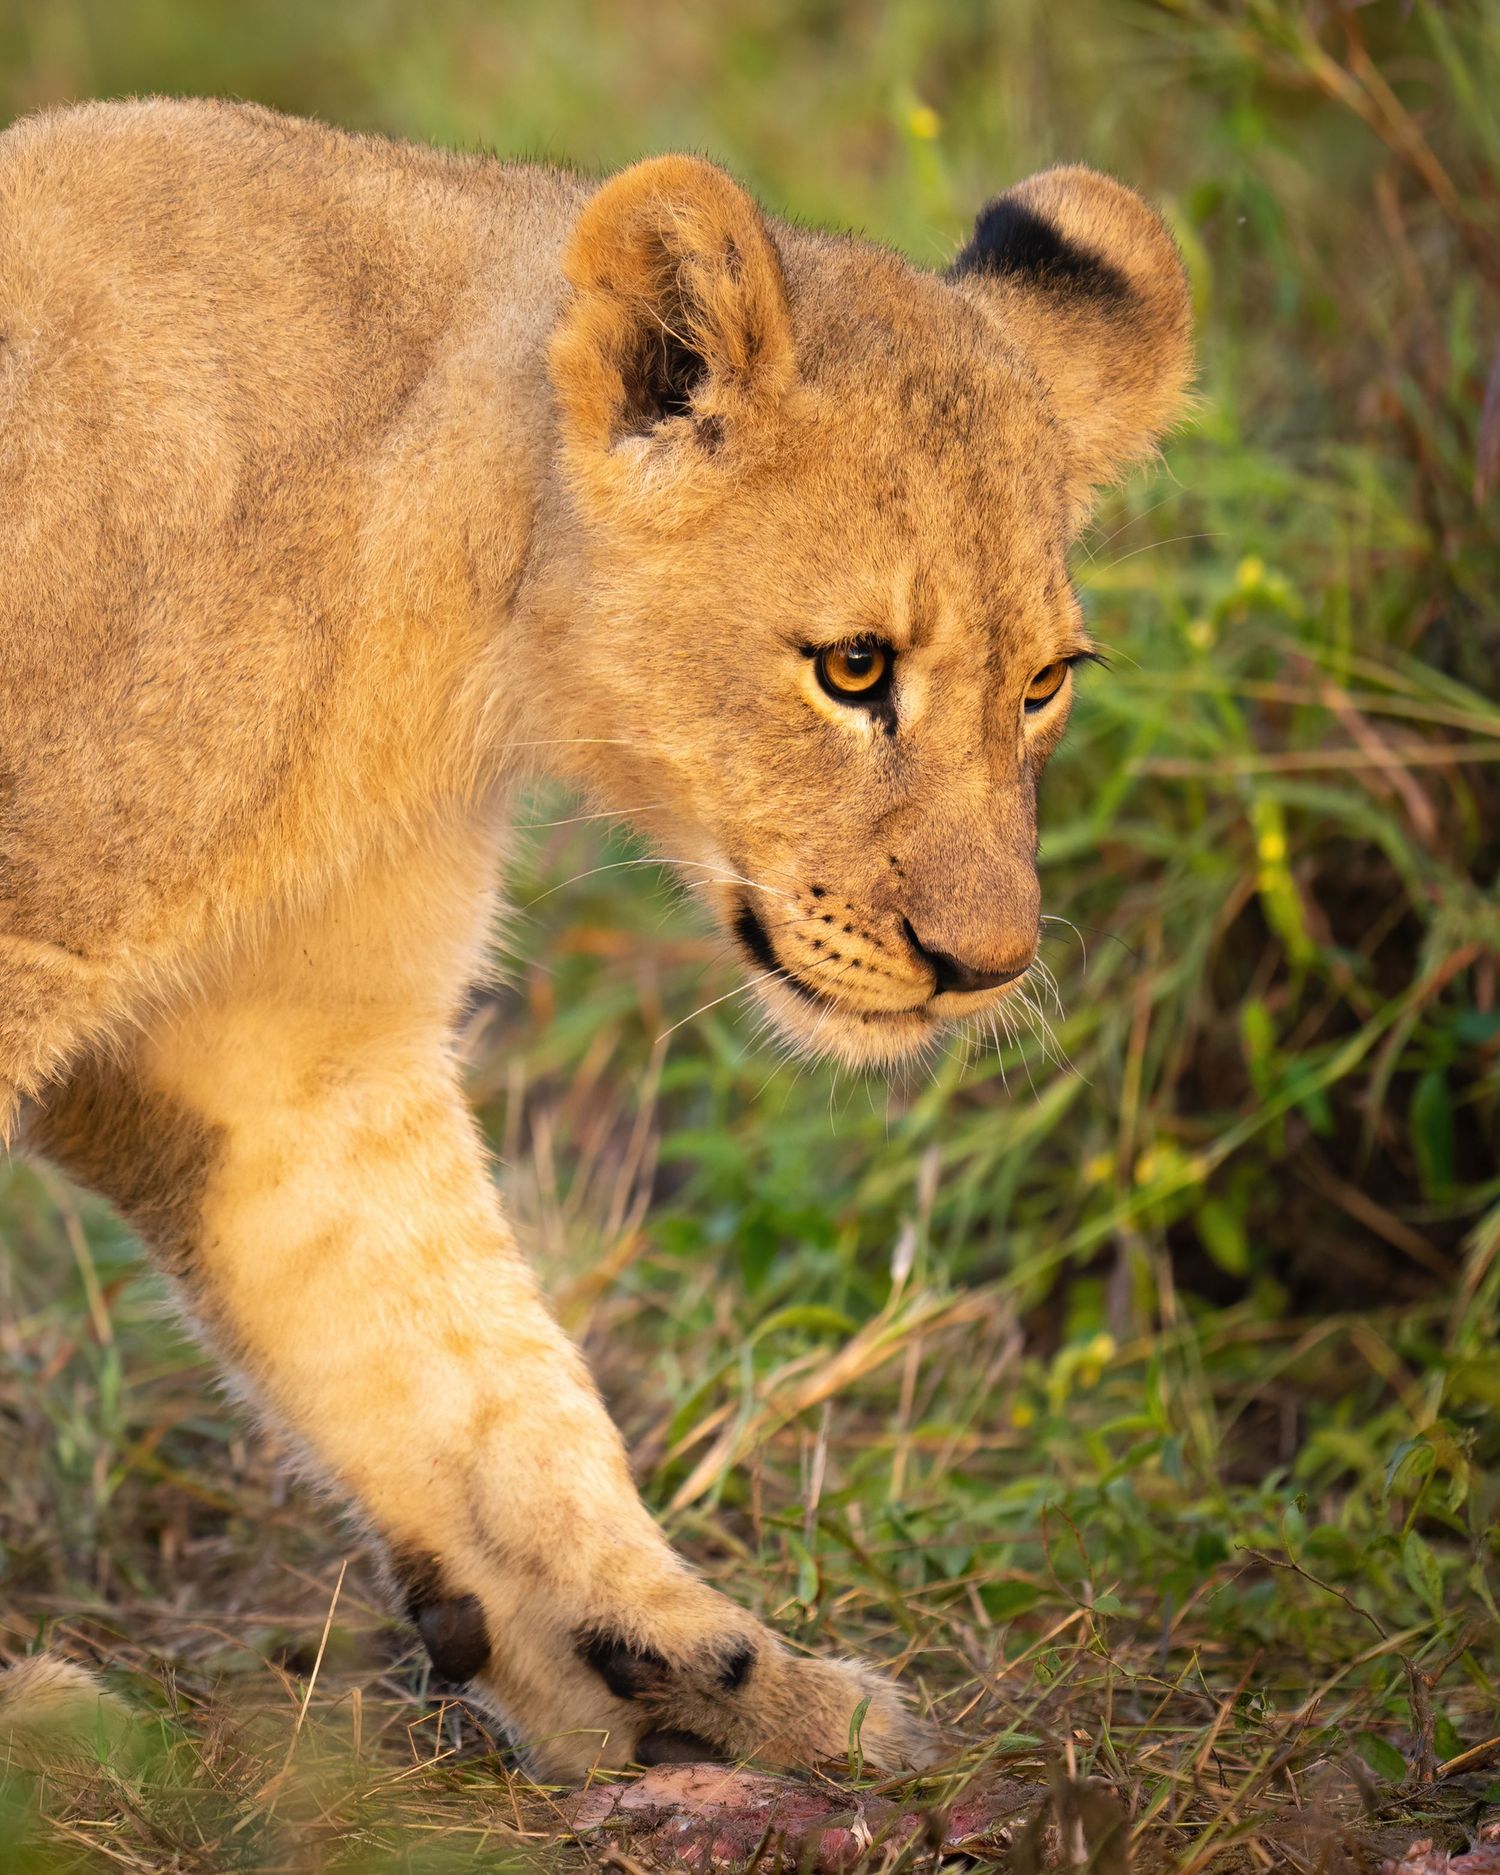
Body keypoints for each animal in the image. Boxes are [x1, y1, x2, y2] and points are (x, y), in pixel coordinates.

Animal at [0, 96, 1191, 1779]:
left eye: (1043, 684)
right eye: (853, 667)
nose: (987, 968)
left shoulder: (286, 1059)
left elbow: (477, 1373)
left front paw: (706, 1668)